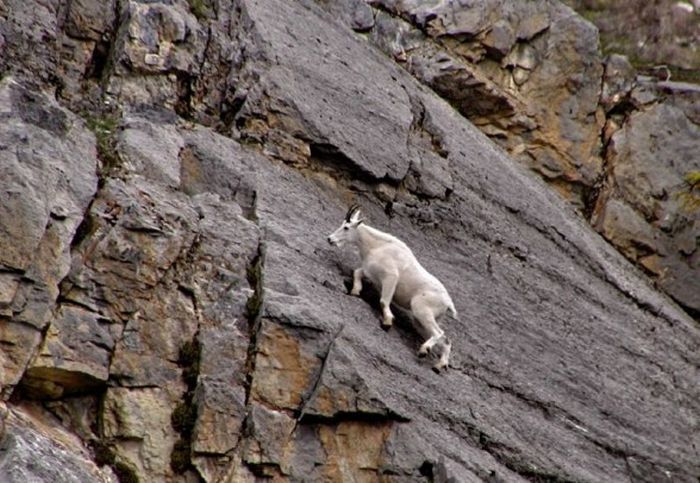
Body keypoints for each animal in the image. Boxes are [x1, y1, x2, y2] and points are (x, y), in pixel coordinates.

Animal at [326, 206, 456, 372]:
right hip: (423, 320)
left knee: (439, 333)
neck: (377, 246)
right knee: (446, 340)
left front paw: (387, 322)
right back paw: (439, 365)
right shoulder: (370, 272)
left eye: (346, 227)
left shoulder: (390, 278)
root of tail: (448, 303)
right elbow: (357, 273)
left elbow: (383, 301)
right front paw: (355, 291)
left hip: (421, 310)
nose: (330, 239)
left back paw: (423, 350)